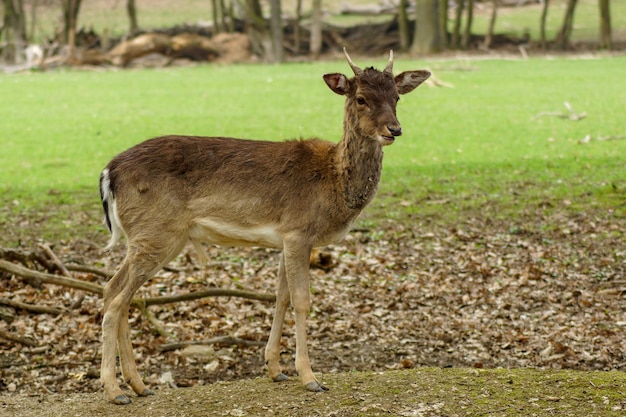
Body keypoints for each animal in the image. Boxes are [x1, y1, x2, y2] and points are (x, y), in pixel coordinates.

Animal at [98, 48, 428, 404]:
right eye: (361, 98)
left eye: (397, 97)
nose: (394, 129)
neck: (334, 183)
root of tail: (108, 172)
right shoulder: (298, 231)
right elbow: (302, 300)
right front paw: (309, 377)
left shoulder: (284, 237)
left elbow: (280, 296)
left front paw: (275, 369)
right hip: (156, 232)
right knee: (116, 298)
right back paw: (114, 390)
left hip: (149, 237)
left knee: (115, 291)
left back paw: (139, 385)